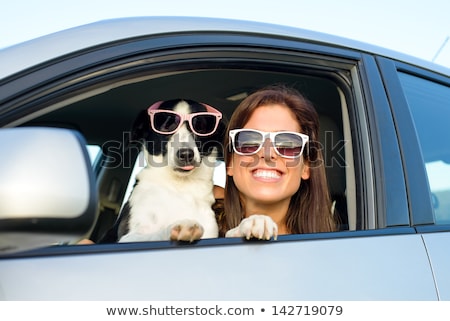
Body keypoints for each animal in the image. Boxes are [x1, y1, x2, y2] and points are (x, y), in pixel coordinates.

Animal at [100, 99, 225, 241]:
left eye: (200, 126)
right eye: (166, 125)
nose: (186, 154)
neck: (180, 187)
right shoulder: (128, 237)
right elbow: (154, 234)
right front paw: (178, 228)